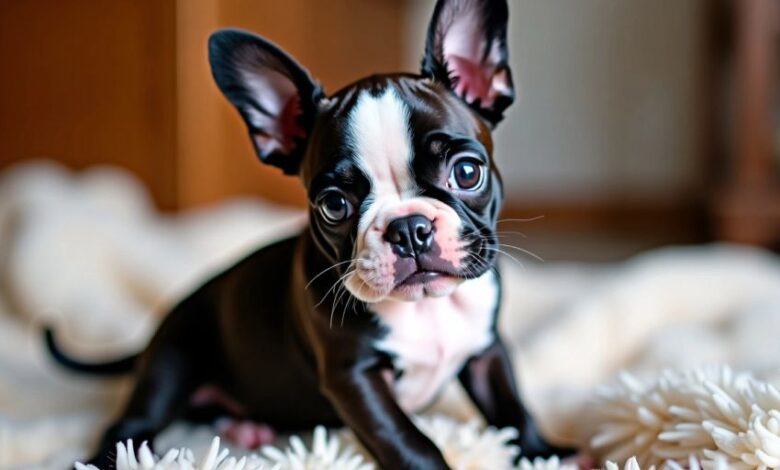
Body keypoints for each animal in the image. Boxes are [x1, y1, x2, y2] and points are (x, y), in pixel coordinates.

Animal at [47, 1, 572, 468]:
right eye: (334, 205)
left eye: (466, 172)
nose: (409, 229)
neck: (424, 309)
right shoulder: (353, 379)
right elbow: (409, 441)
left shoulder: (487, 349)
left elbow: (511, 408)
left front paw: (547, 453)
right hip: (174, 357)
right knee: (132, 424)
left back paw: (245, 426)